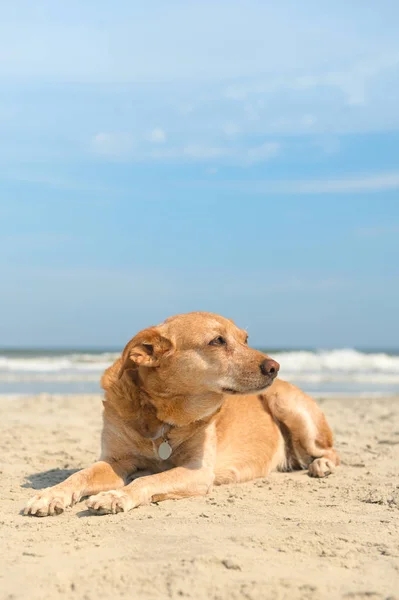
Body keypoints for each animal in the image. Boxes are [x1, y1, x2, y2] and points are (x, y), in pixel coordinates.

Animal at [23, 312, 340, 516]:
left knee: (330, 451)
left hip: (286, 404)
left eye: (246, 339)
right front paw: (50, 495)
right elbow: (80, 475)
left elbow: (147, 480)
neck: (162, 417)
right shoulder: (115, 460)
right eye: (217, 341)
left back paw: (321, 465)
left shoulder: (197, 471)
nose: (275, 367)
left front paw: (116, 495)